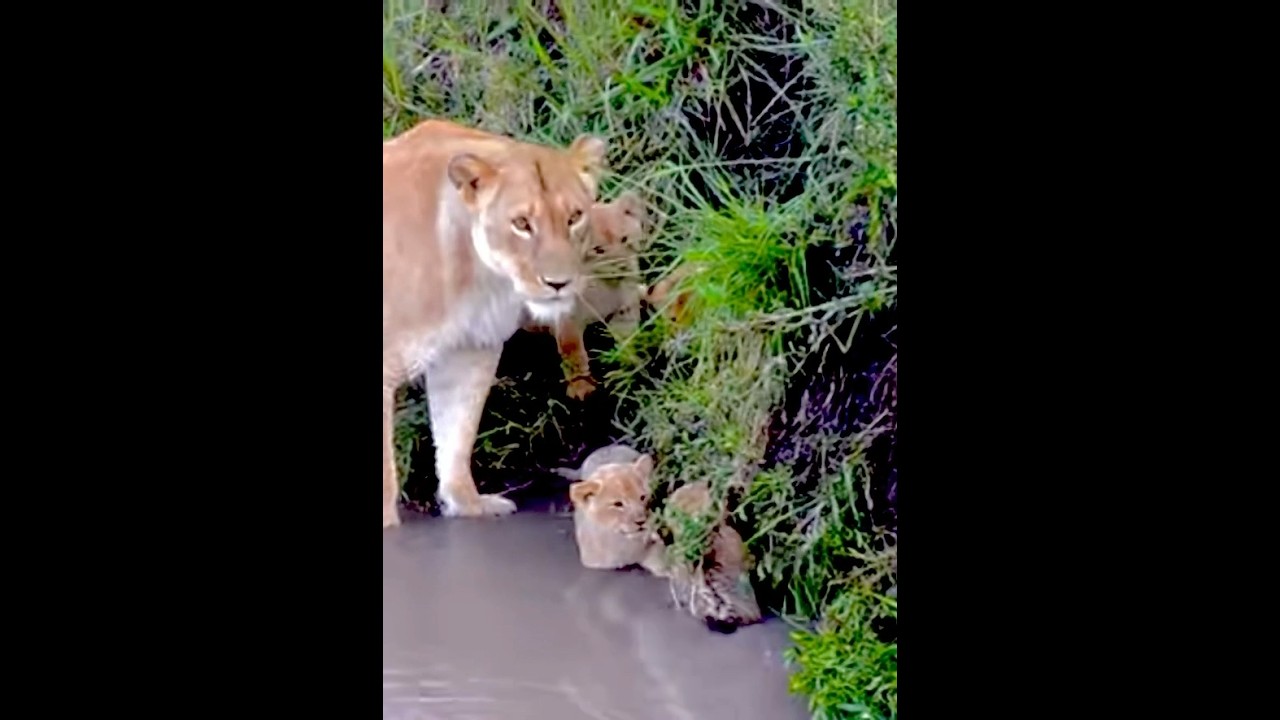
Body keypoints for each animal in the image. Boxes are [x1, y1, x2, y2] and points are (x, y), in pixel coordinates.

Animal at [383, 118, 607, 528]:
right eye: (521, 224)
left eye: (574, 217)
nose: (558, 283)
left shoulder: (468, 351)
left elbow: (457, 434)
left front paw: (466, 503)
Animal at [521, 190, 649, 400]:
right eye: (598, 250)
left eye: (624, 239)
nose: (622, 265)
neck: (604, 287)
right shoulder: (568, 323)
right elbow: (574, 355)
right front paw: (581, 388)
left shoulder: (624, 311)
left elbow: (626, 341)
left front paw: (625, 372)